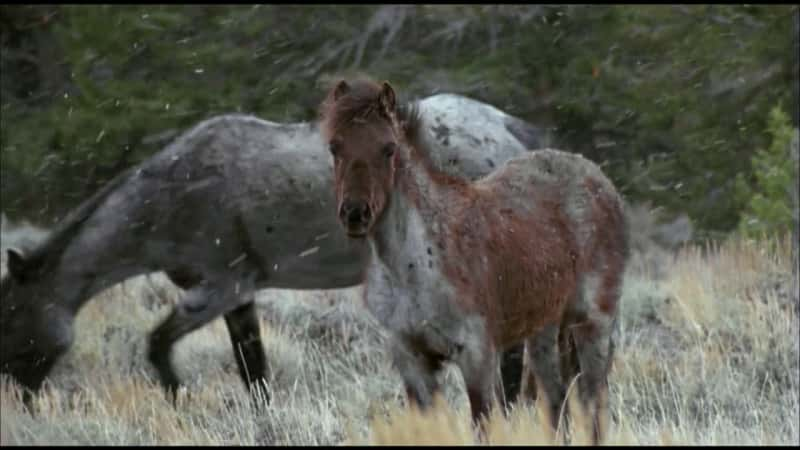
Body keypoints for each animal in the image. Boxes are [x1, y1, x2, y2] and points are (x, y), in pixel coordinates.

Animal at [0, 91, 544, 404]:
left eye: (13, 319)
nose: (16, 397)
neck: (171, 195)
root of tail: (508, 126)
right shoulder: (238, 296)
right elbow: (253, 371)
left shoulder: (218, 288)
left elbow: (156, 346)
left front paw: (179, 399)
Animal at [320, 80, 632, 442]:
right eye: (335, 147)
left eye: (388, 148)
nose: (355, 214)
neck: (416, 267)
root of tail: (599, 181)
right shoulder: (412, 360)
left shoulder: (477, 356)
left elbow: (485, 426)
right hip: (543, 331)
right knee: (557, 403)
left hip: (593, 324)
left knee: (593, 406)